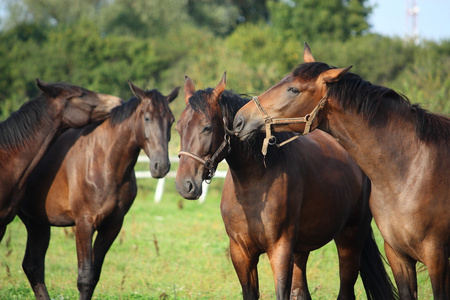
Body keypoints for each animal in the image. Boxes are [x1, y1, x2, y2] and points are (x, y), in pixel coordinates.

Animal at [18, 82, 179, 300]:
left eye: (171, 120)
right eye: (147, 118)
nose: (160, 166)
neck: (103, 162)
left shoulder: (112, 225)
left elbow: (93, 276)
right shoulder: (84, 224)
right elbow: (84, 277)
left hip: (37, 222)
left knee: (33, 266)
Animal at [176, 73, 398, 300]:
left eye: (207, 127)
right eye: (178, 127)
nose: (185, 185)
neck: (253, 185)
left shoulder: (280, 251)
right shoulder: (240, 253)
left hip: (350, 240)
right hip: (302, 250)